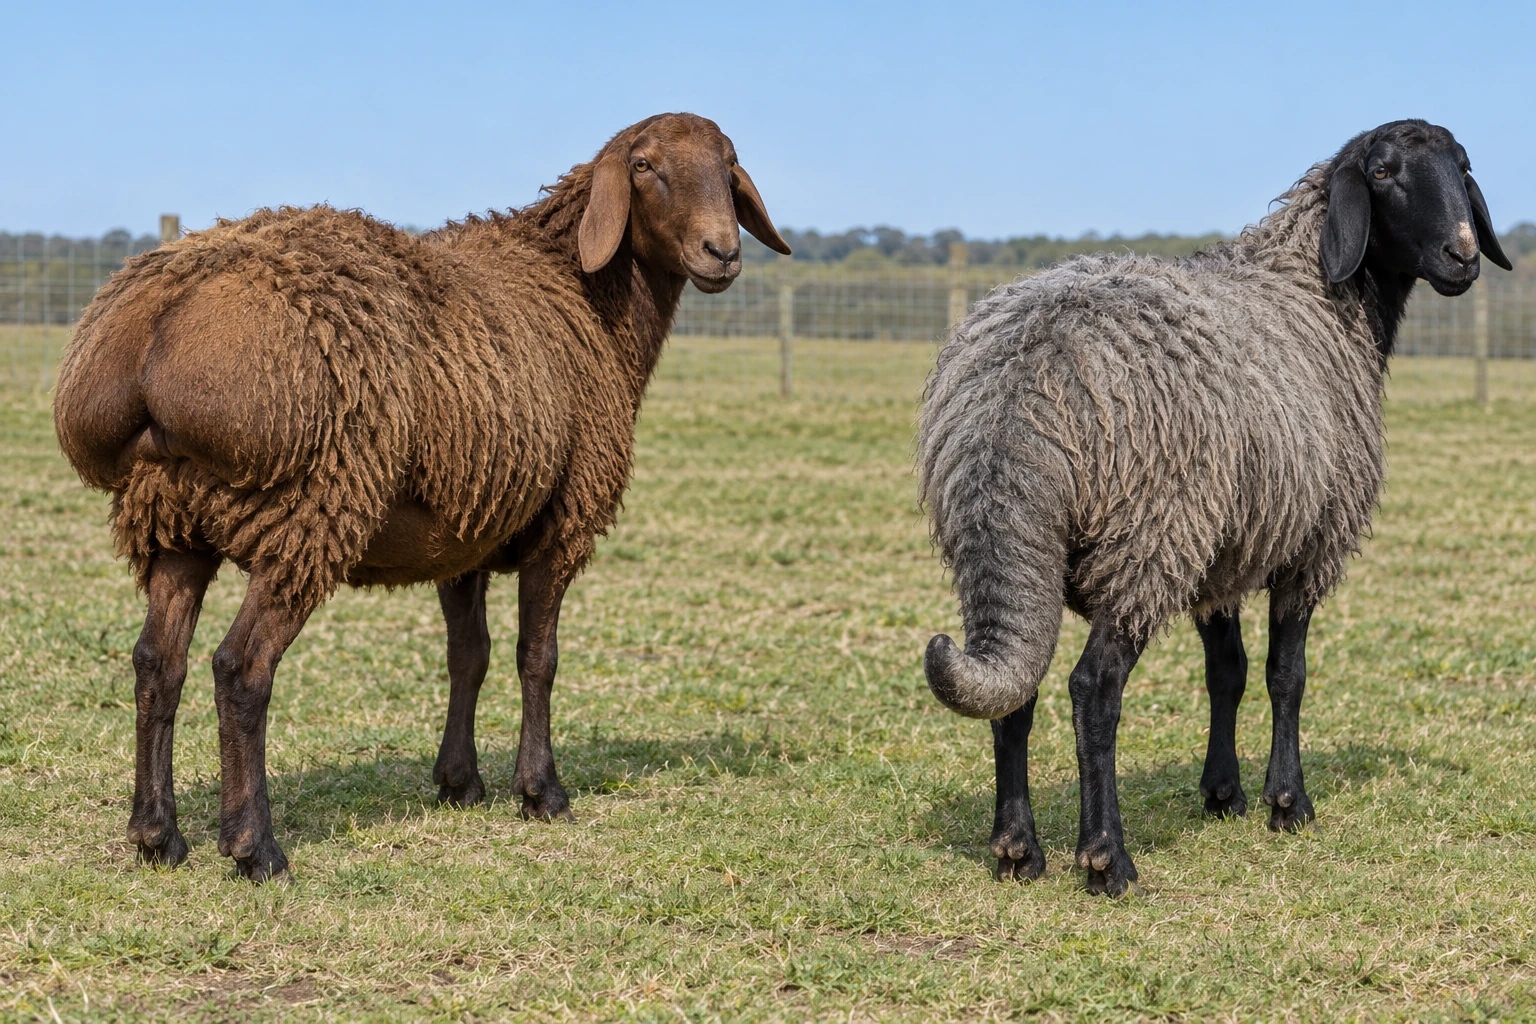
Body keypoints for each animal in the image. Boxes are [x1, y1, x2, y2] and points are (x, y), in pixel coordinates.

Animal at [52, 112, 790, 882]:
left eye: (729, 163)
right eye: (644, 166)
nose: (722, 252)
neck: (585, 295)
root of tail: (152, 324)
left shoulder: (464, 530)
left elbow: (470, 654)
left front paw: (459, 782)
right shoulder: (561, 524)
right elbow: (538, 657)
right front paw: (542, 792)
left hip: (173, 519)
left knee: (156, 663)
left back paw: (156, 836)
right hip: (310, 511)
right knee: (241, 667)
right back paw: (256, 848)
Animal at [918, 120, 1510, 896]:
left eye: (1463, 165)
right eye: (1383, 172)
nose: (1462, 256)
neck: (1316, 293)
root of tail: (1021, 391)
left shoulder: (1226, 547)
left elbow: (1226, 671)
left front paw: (1223, 792)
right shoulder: (1308, 545)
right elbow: (1287, 674)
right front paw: (1288, 803)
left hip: (1008, 542)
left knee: (1018, 686)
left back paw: (1018, 849)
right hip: (1150, 536)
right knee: (1092, 688)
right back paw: (1107, 859)